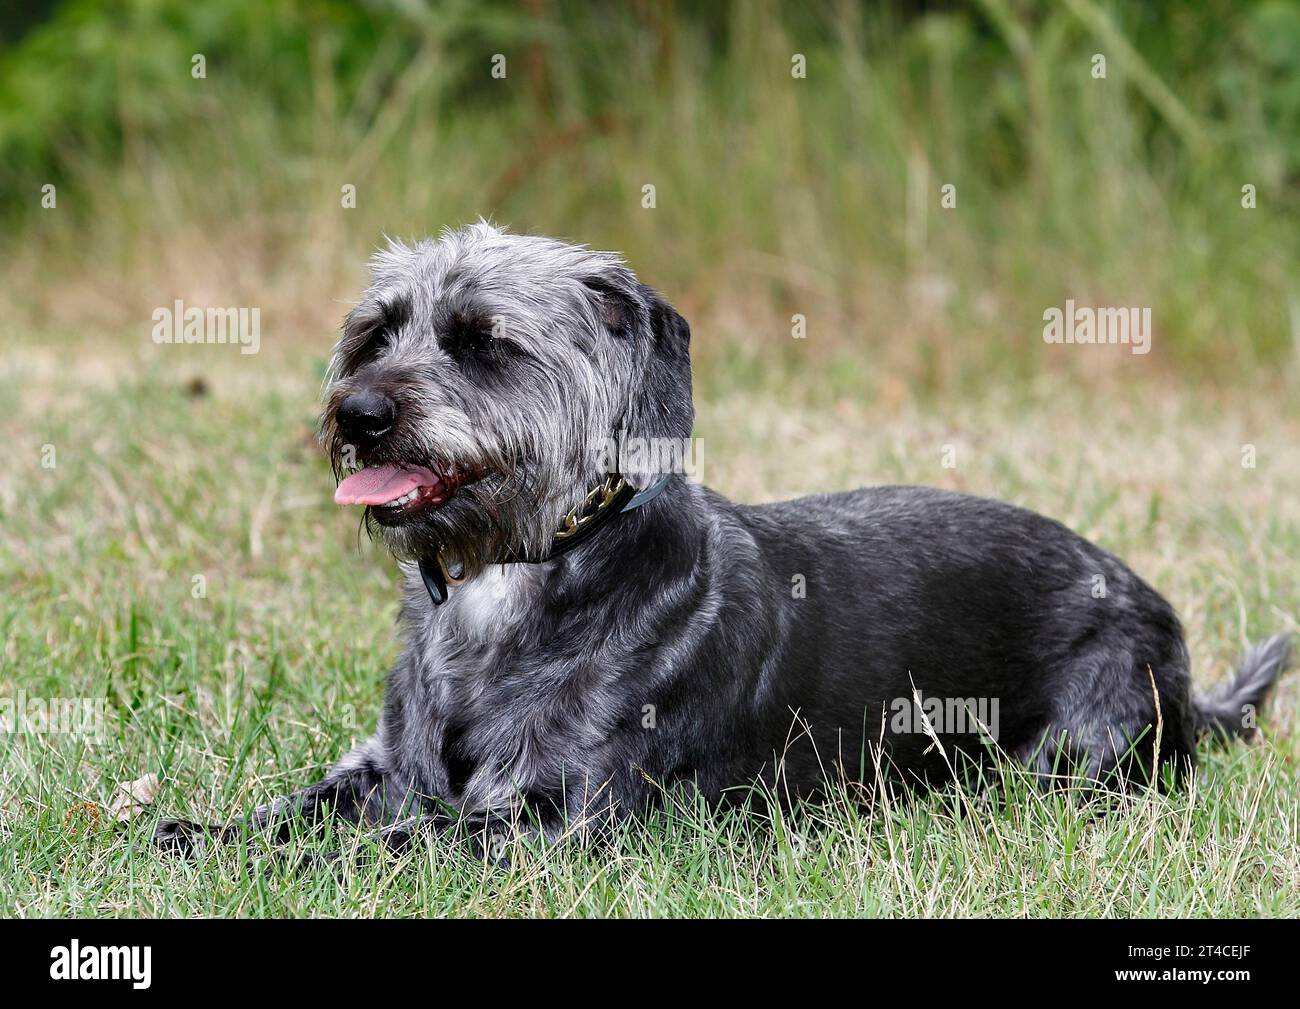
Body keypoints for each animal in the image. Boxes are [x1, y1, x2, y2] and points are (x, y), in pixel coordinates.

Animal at [152, 221, 1289, 858]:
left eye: (483, 342)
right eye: (375, 331)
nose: (358, 414)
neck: (520, 570)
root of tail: (1160, 624)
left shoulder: (562, 815)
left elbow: (397, 840)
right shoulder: (387, 767)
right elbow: (314, 807)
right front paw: (202, 832)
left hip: (1070, 760)